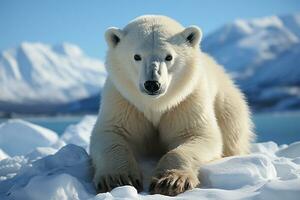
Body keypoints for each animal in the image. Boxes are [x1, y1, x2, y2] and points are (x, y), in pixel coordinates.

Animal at [90, 15, 254, 195]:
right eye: (137, 56)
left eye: (168, 57)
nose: (152, 84)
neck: (156, 104)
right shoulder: (123, 100)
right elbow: (111, 134)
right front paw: (118, 179)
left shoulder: (186, 100)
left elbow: (198, 134)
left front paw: (170, 181)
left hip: (227, 103)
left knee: (232, 132)